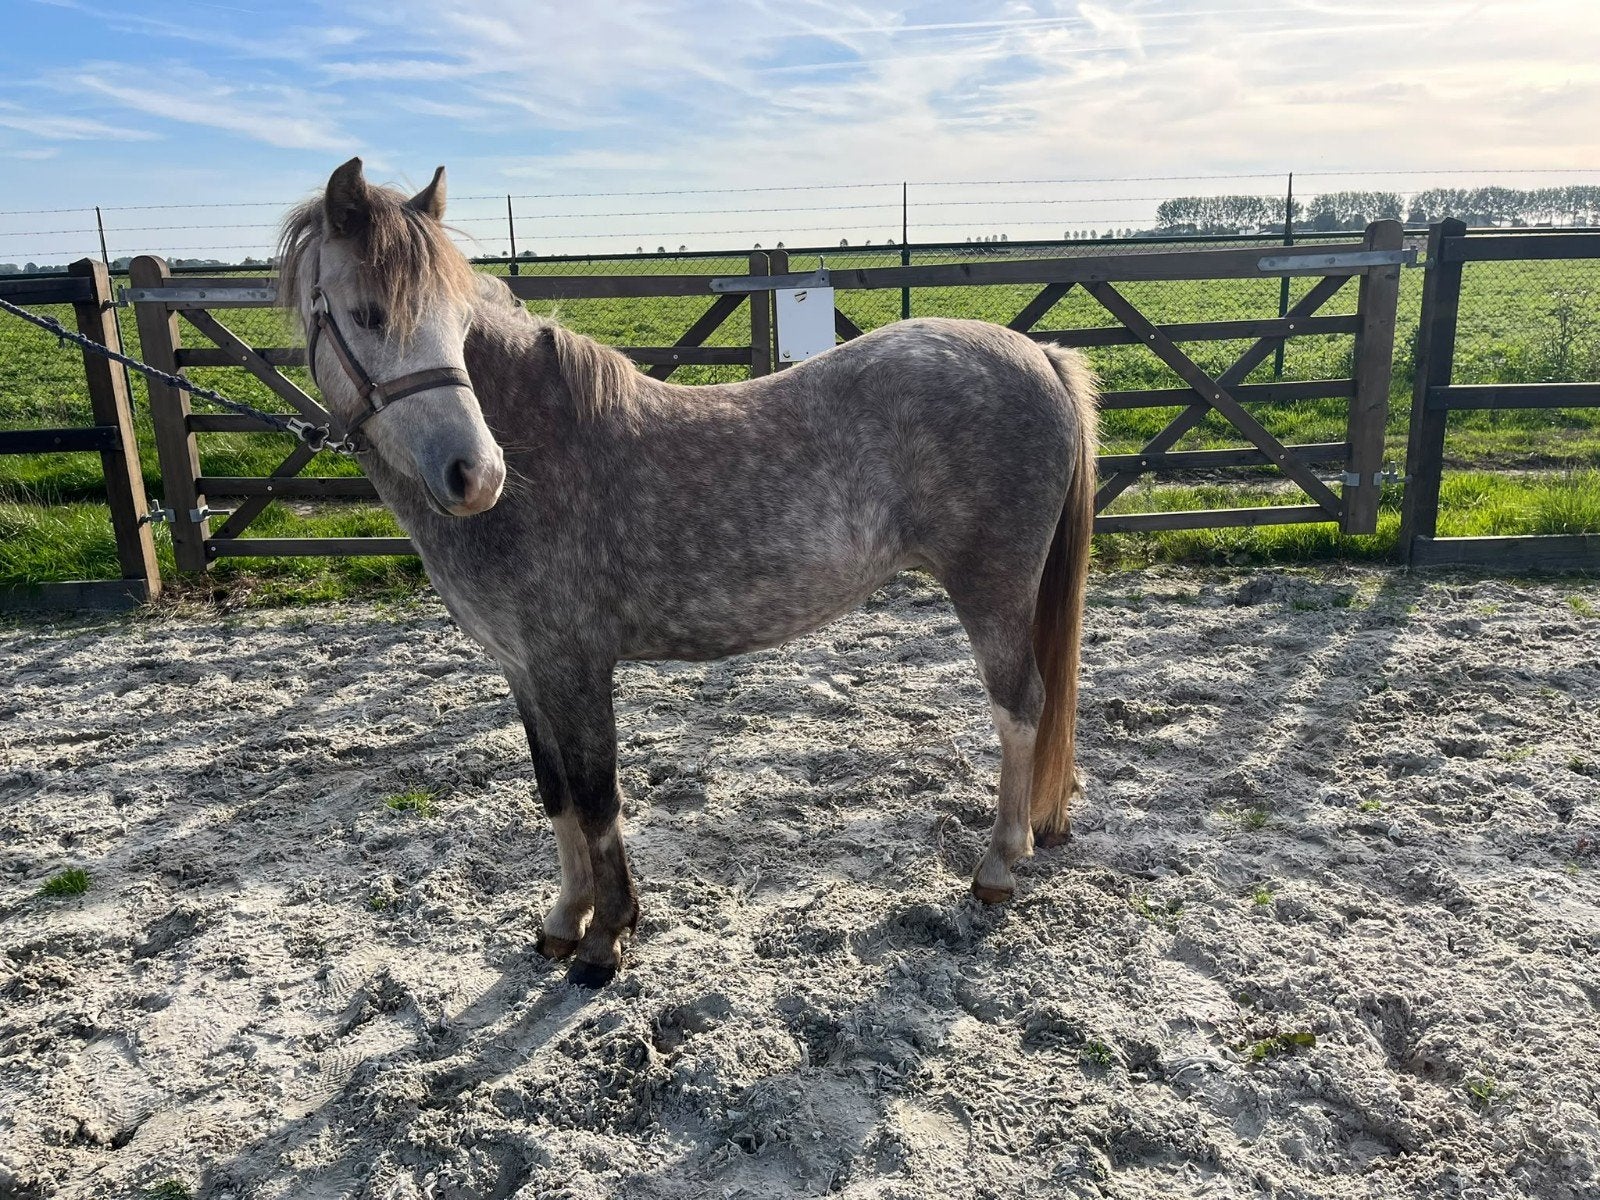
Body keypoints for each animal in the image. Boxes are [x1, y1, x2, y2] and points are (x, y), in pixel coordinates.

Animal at [277, 158, 1099, 987]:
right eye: (367, 314)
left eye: (454, 321)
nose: (475, 475)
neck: (544, 449)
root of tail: (1041, 354)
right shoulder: (524, 669)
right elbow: (555, 793)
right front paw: (564, 920)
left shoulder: (574, 665)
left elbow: (596, 796)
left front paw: (607, 937)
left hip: (992, 589)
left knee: (1021, 706)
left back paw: (997, 864)